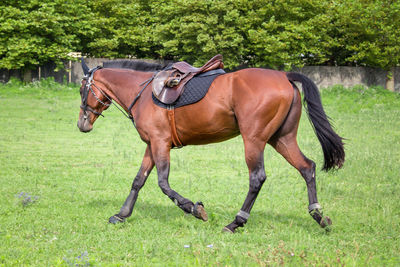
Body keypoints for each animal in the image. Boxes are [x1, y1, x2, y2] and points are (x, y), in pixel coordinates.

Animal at [77, 58, 344, 232]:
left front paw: (194, 209)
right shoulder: (152, 144)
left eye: (82, 90)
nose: (82, 124)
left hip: (254, 140)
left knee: (257, 177)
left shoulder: (160, 143)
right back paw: (319, 216)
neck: (143, 92)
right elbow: (138, 181)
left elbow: (163, 183)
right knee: (307, 167)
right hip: (282, 139)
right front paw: (121, 215)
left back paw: (236, 222)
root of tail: (283, 76)